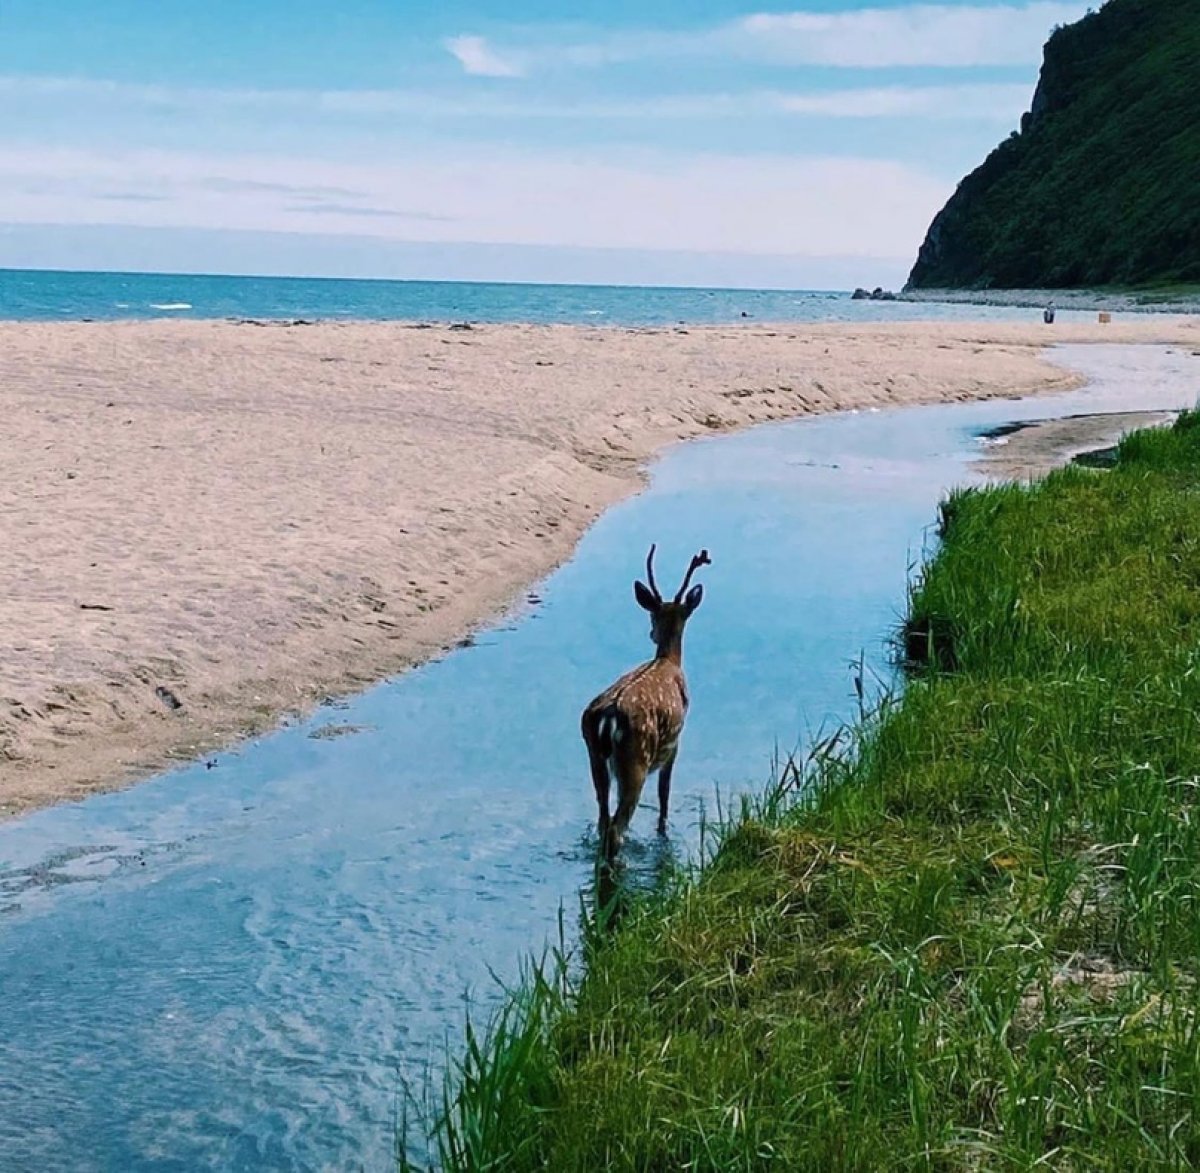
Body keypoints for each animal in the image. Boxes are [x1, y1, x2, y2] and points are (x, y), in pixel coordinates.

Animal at [583, 542, 710, 858]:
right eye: (652, 616)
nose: (652, 633)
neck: (669, 661)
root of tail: (608, 719)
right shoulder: (675, 742)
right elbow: (664, 795)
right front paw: (663, 832)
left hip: (595, 756)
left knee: (603, 820)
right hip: (635, 759)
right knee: (615, 827)